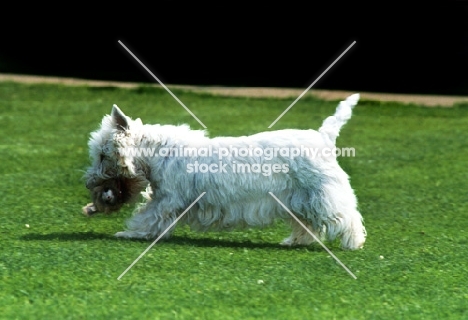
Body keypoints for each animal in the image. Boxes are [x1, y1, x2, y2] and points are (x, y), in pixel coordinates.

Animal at [86, 94, 368, 250]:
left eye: (101, 155)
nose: (89, 183)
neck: (156, 155)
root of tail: (323, 137)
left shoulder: (168, 200)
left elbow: (148, 218)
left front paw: (128, 233)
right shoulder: (165, 198)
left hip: (323, 195)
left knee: (347, 217)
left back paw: (354, 244)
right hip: (301, 200)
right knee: (308, 224)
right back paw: (295, 241)